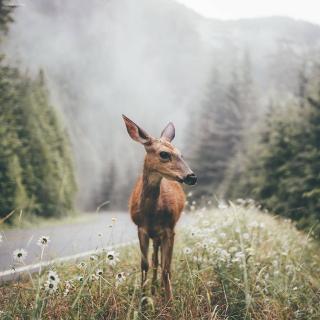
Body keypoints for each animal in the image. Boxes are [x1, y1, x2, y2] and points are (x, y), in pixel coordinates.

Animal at [122, 115, 198, 300]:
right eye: (164, 154)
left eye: (181, 154)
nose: (192, 176)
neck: (151, 215)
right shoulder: (141, 228)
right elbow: (144, 265)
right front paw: (143, 299)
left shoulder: (169, 229)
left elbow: (167, 268)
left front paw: (169, 300)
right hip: (154, 234)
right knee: (154, 260)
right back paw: (153, 288)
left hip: (161, 233)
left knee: (159, 261)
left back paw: (158, 289)